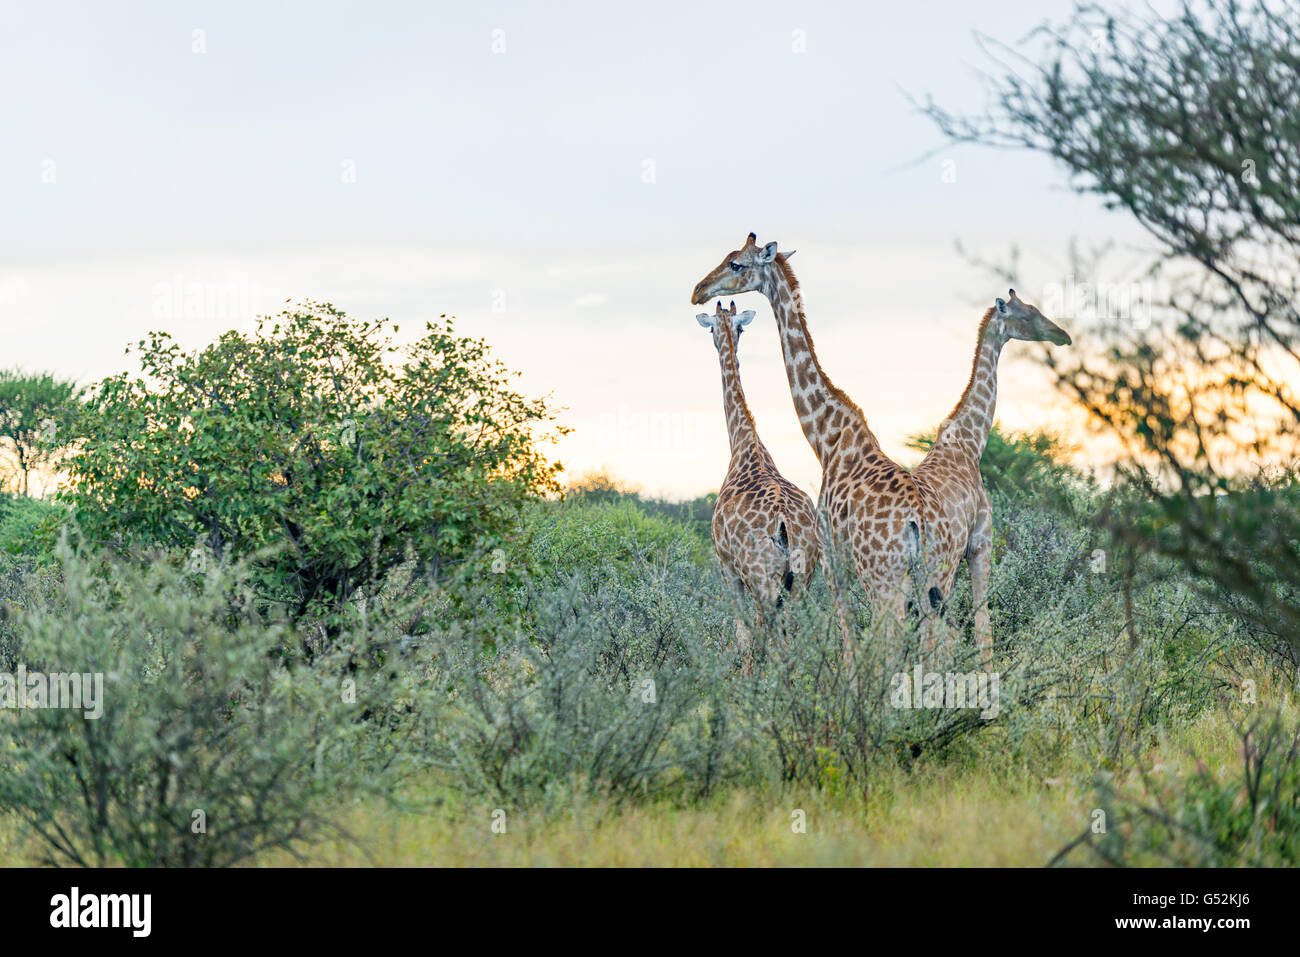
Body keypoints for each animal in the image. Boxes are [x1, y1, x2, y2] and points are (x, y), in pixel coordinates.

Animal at [697, 299, 821, 672]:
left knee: (775, 637)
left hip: (762, 578)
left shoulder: (726, 566)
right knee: (799, 635)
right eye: (736, 326)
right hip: (803, 576)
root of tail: (783, 522)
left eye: (711, 328)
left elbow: (743, 633)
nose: (723, 339)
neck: (744, 443)